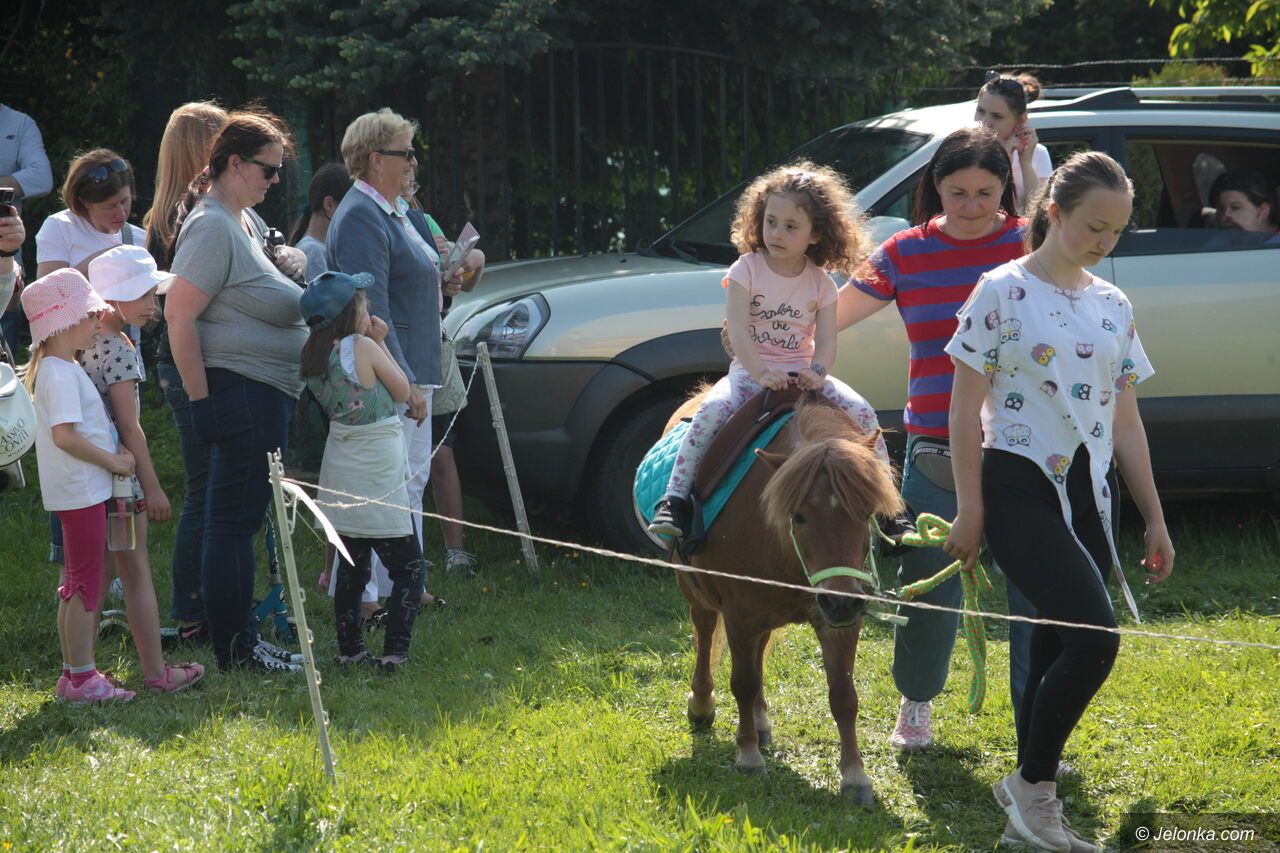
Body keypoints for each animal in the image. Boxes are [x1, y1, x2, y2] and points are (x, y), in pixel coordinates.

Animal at [665, 389, 906, 799]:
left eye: (867, 512)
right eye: (799, 516)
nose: (841, 602)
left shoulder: (837, 620)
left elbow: (844, 696)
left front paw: (855, 775)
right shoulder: (740, 614)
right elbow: (742, 683)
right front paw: (748, 756)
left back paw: (760, 721)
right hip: (697, 589)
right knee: (705, 633)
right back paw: (702, 704)